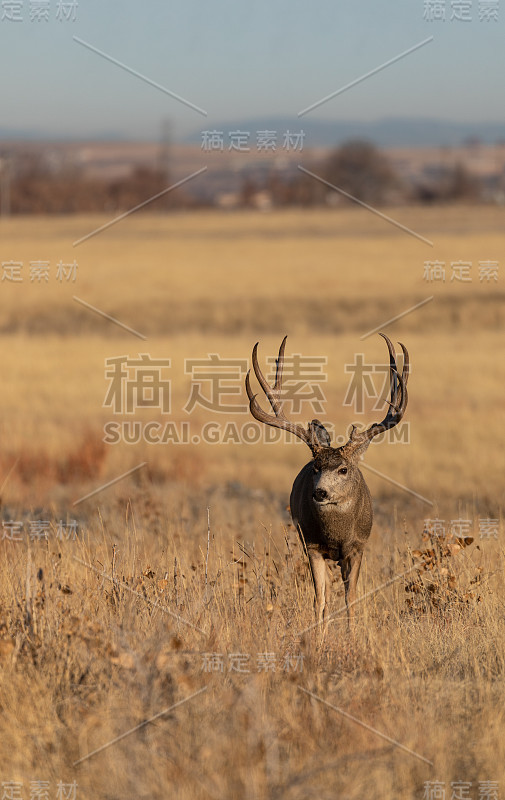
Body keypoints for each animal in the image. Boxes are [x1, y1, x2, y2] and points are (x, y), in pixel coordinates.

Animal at [246, 332, 408, 632]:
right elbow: (320, 599)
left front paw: (352, 635)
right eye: (315, 468)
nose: (320, 493)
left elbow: (351, 598)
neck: (336, 533)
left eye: (343, 469)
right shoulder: (311, 545)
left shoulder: (357, 546)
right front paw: (319, 637)